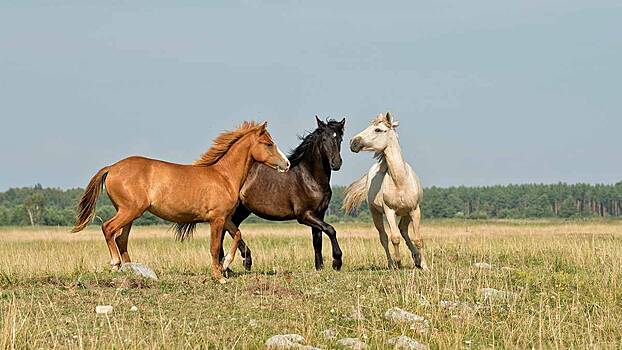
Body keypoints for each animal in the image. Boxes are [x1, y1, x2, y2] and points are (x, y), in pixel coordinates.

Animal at [72, 122, 292, 282]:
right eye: (269, 143)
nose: (287, 164)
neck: (224, 176)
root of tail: (112, 167)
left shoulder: (226, 218)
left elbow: (237, 235)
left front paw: (226, 265)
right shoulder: (216, 219)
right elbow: (214, 247)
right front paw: (219, 276)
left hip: (130, 214)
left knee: (121, 239)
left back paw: (131, 269)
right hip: (129, 210)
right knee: (108, 228)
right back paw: (115, 264)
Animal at [222, 117, 346, 270]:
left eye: (340, 139)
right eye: (324, 139)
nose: (336, 163)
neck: (309, 177)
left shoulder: (319, 213)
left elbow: (317, 241)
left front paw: (319, 267)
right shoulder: (304, 215)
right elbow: (330, 229)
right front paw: (337, 261)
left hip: (242, 210)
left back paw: (236, 263)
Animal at [346, 113, 428, 270]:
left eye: (378, 129)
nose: (353, 142)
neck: (400, 181)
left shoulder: (415, 210)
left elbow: (418, 239)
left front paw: (425, 266)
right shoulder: (389, 211)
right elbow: (394, 238)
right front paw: (398, 264)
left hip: (406, 213)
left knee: (403, 230)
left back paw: (416, 259)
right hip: (376, 213)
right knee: (384, 237)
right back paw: (391, 264)